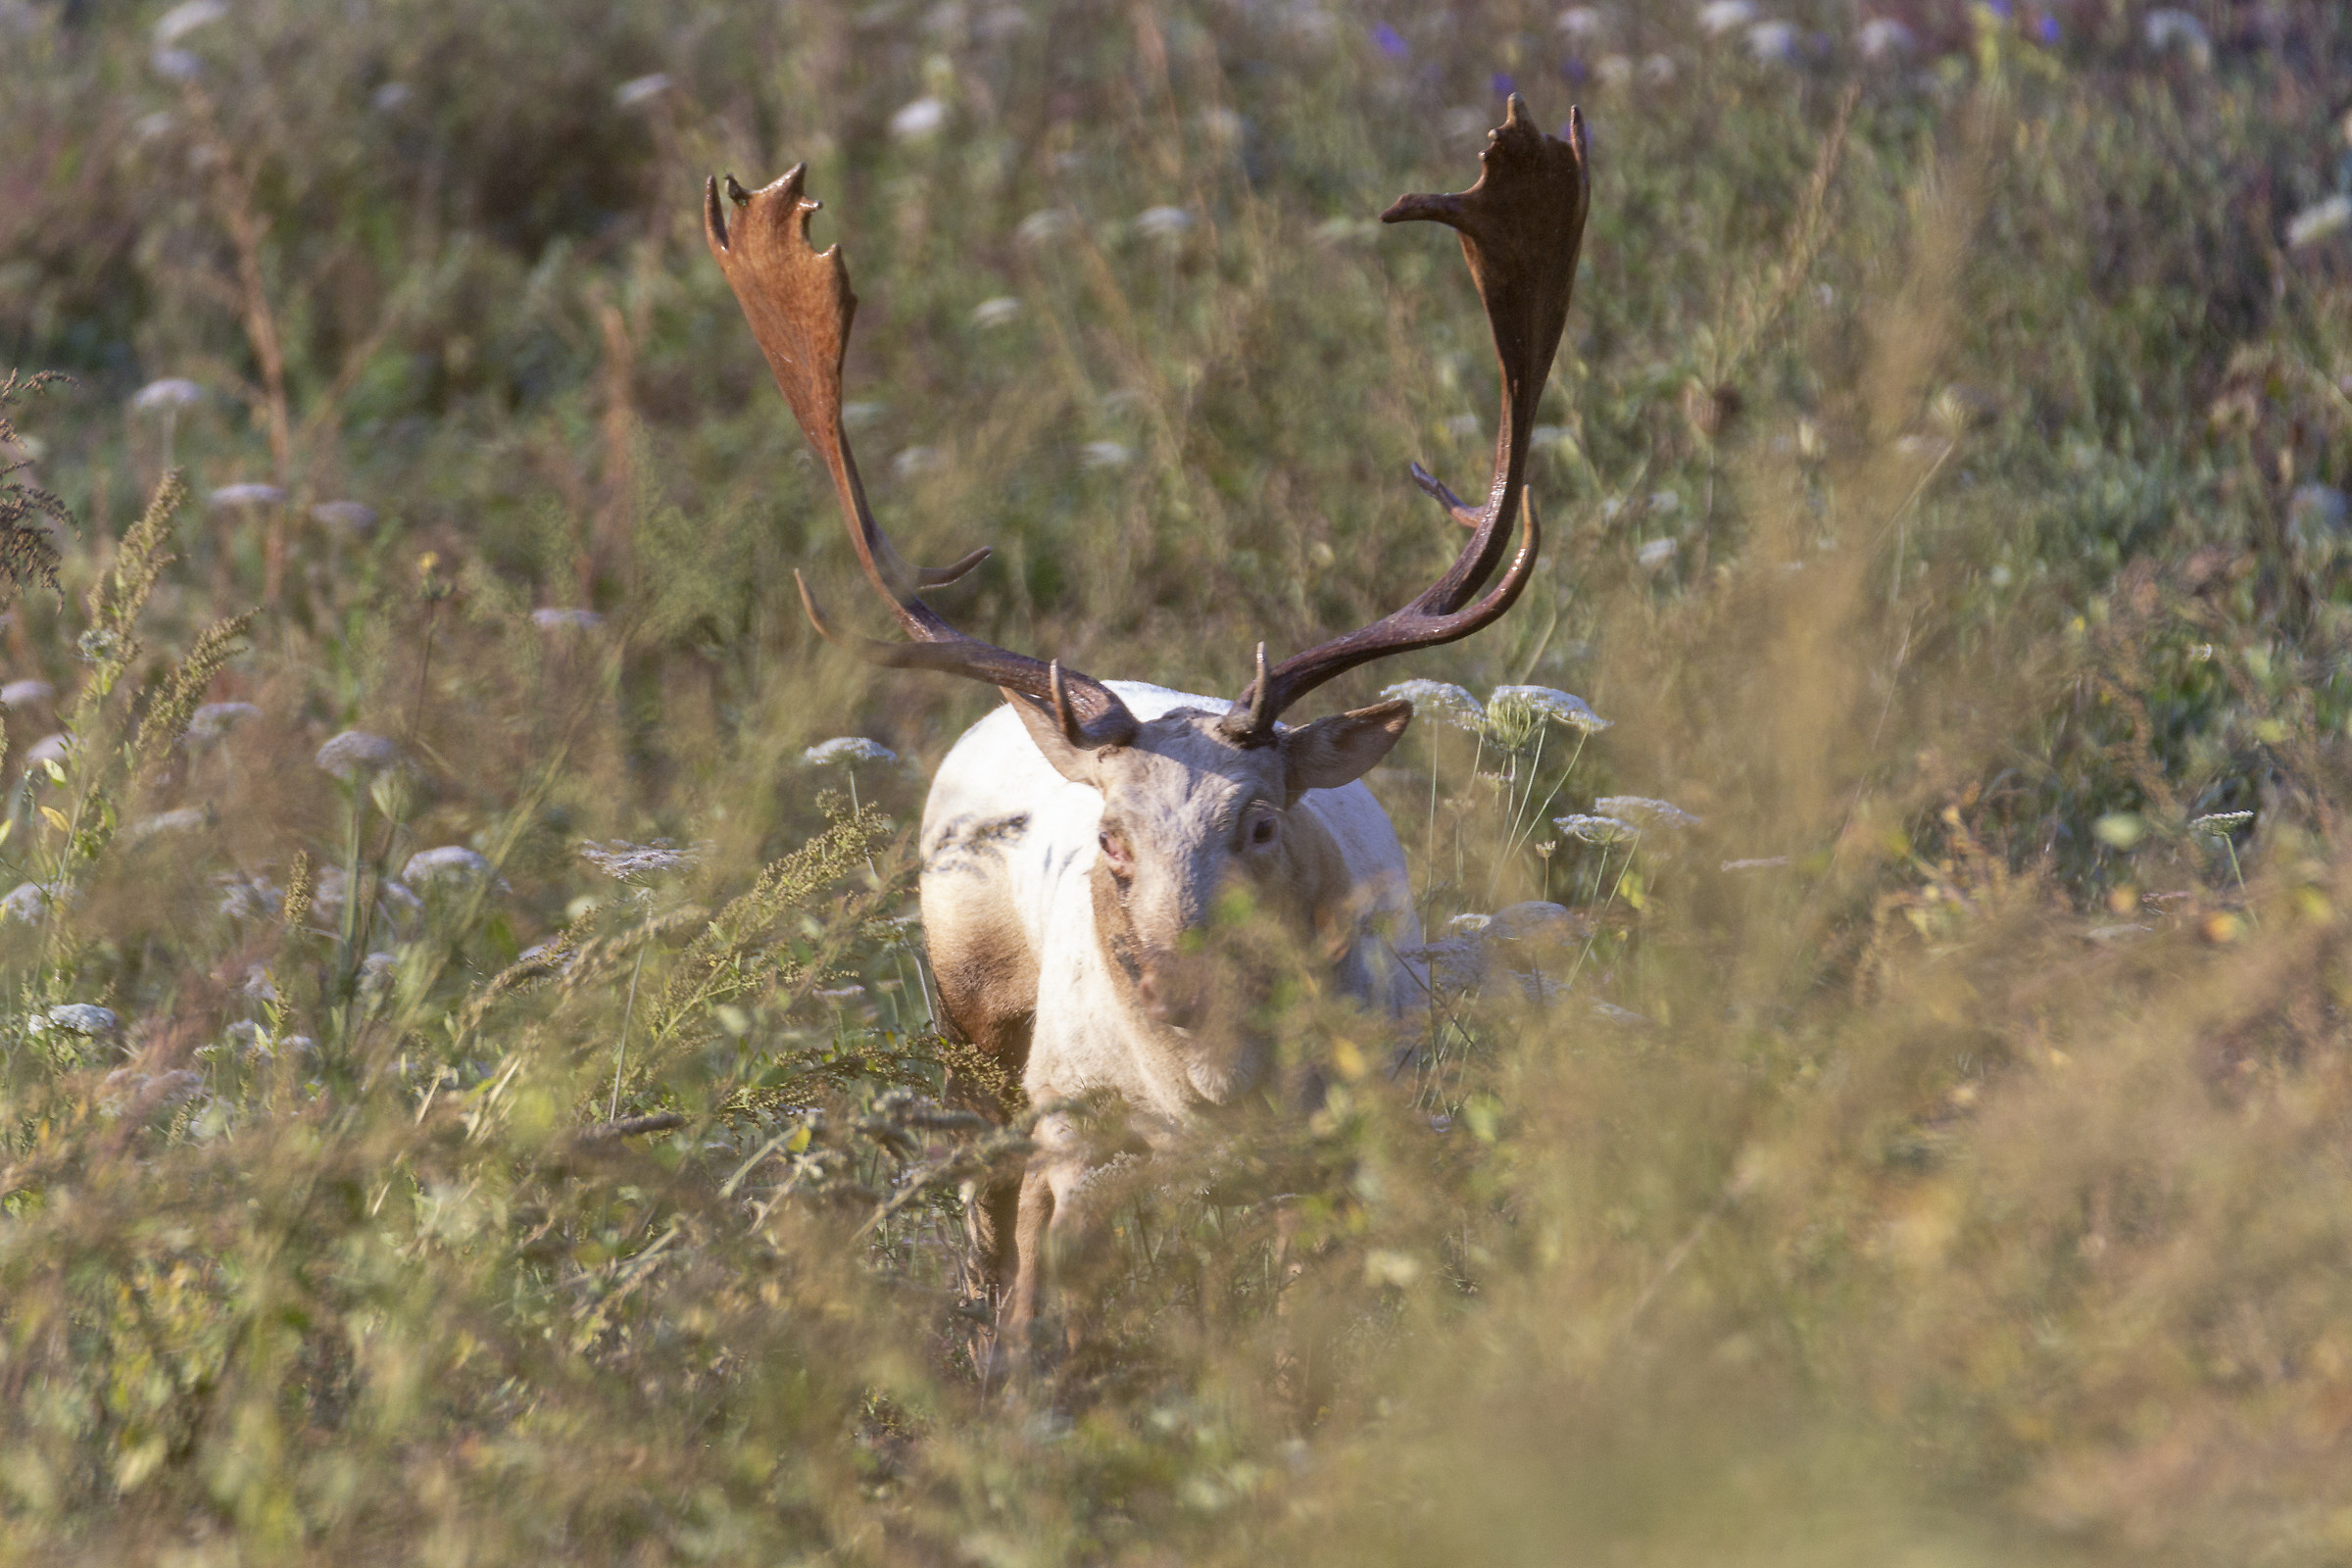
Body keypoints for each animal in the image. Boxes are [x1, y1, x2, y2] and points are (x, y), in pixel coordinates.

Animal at [686, 95, 1590, 1363]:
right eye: (1112, 838)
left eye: (1260, 823)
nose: (1171, 970)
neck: (1215, 1093)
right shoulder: (1083, 1142)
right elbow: (1049, 1298)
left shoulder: (1357, 1135)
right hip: (972, 1024)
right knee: (993, 1210)